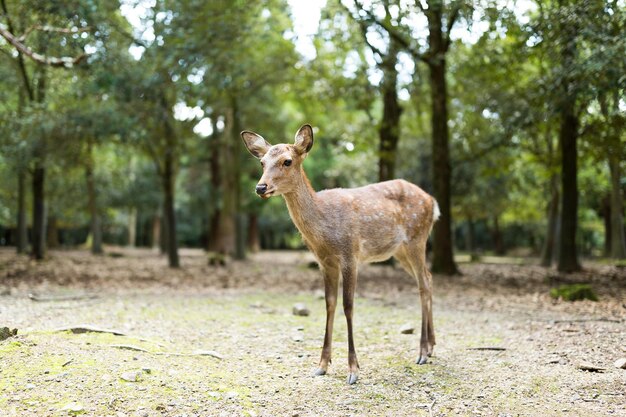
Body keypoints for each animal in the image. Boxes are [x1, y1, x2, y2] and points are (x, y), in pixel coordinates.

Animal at [239, 123, 438, 384]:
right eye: (262, 162)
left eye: (287, 161)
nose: (260, 187)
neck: (324, 229)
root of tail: (433, 202)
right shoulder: (324, 261)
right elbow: (329, 304)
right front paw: (322, 365)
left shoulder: (350, 254)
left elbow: (348, 305)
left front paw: (353, 370)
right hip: (400, 250)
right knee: (428, 279)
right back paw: (432, 346)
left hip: (417, 238)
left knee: (423, 283)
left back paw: (422, 352)